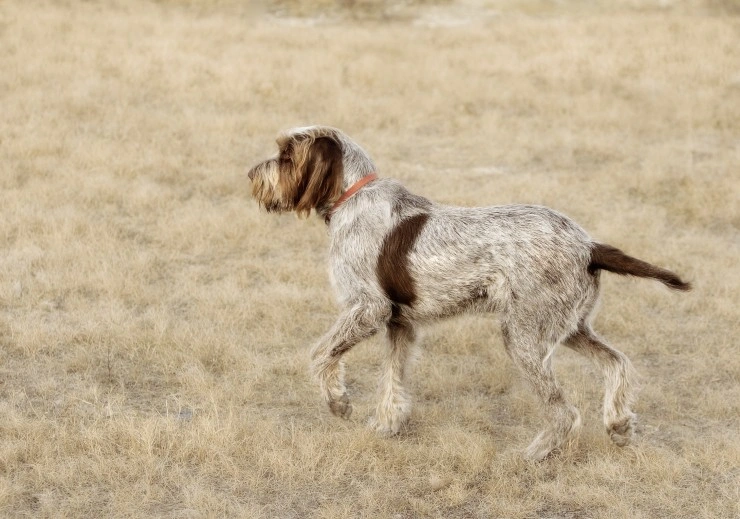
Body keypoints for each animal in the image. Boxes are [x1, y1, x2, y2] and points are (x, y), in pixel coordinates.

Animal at [247, 128, 688, 462]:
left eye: (286, 156)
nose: (251, 173)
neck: (351, 196)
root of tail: (589, 245)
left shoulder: (368, 309)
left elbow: (321, 355)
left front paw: (338, 403)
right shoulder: (400, 324)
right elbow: (392, 380)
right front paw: (387, 425)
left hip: (524, 337)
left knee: (564, 412)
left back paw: (534, 455)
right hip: (569, 326)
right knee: (618, 363)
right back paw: (618, 424)